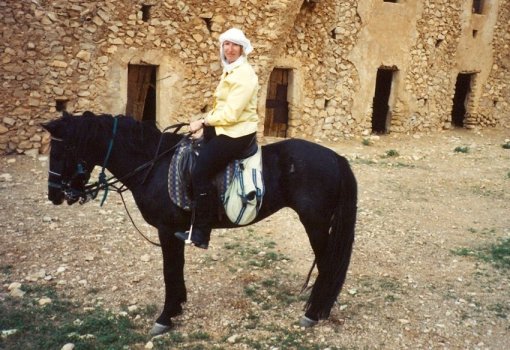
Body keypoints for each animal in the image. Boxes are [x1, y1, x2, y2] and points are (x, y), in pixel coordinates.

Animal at [41, 111, 356, 334]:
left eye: (62, 150)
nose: (54, 195)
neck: (153, 164)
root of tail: (335, 157)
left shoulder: (167, 230)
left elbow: (169, 271)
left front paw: (165, 317)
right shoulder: (174, 232)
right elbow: (176, 270)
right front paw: (178, 307)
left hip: (315, 223)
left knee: (327, 265)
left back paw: (313, 313)